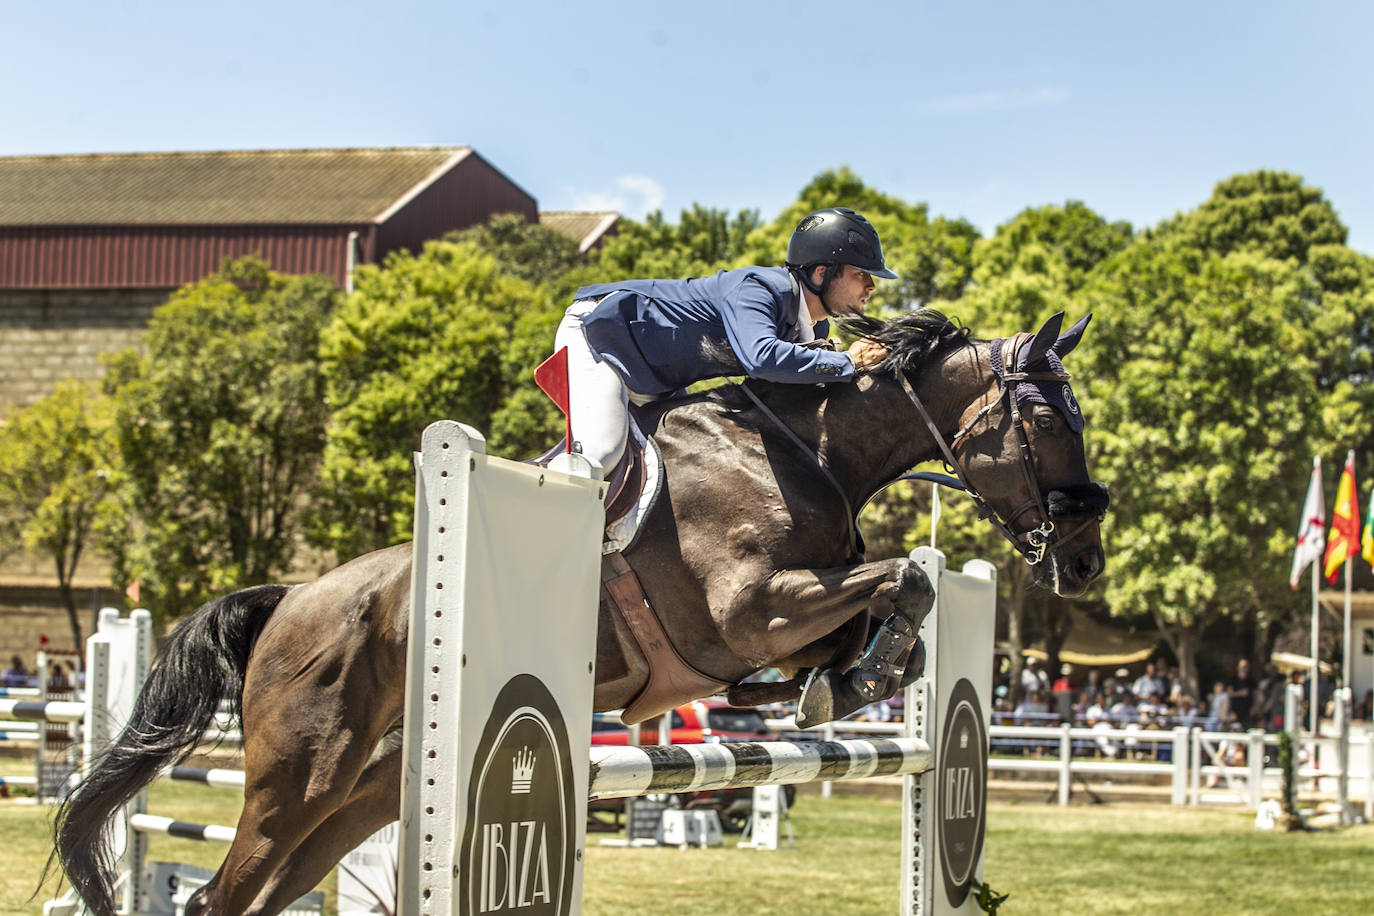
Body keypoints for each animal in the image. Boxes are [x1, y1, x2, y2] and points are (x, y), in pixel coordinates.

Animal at [50, 310, 1104, 916]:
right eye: (1051, 420)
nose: (1086, 558)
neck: (803, 452)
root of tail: (289, 601)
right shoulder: (748, 612)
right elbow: (903, 577)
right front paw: (847, 678)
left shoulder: (781, 615)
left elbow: (890, 604)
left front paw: (838, 683)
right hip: (294, 783)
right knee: (225, 894)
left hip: (360, 797)